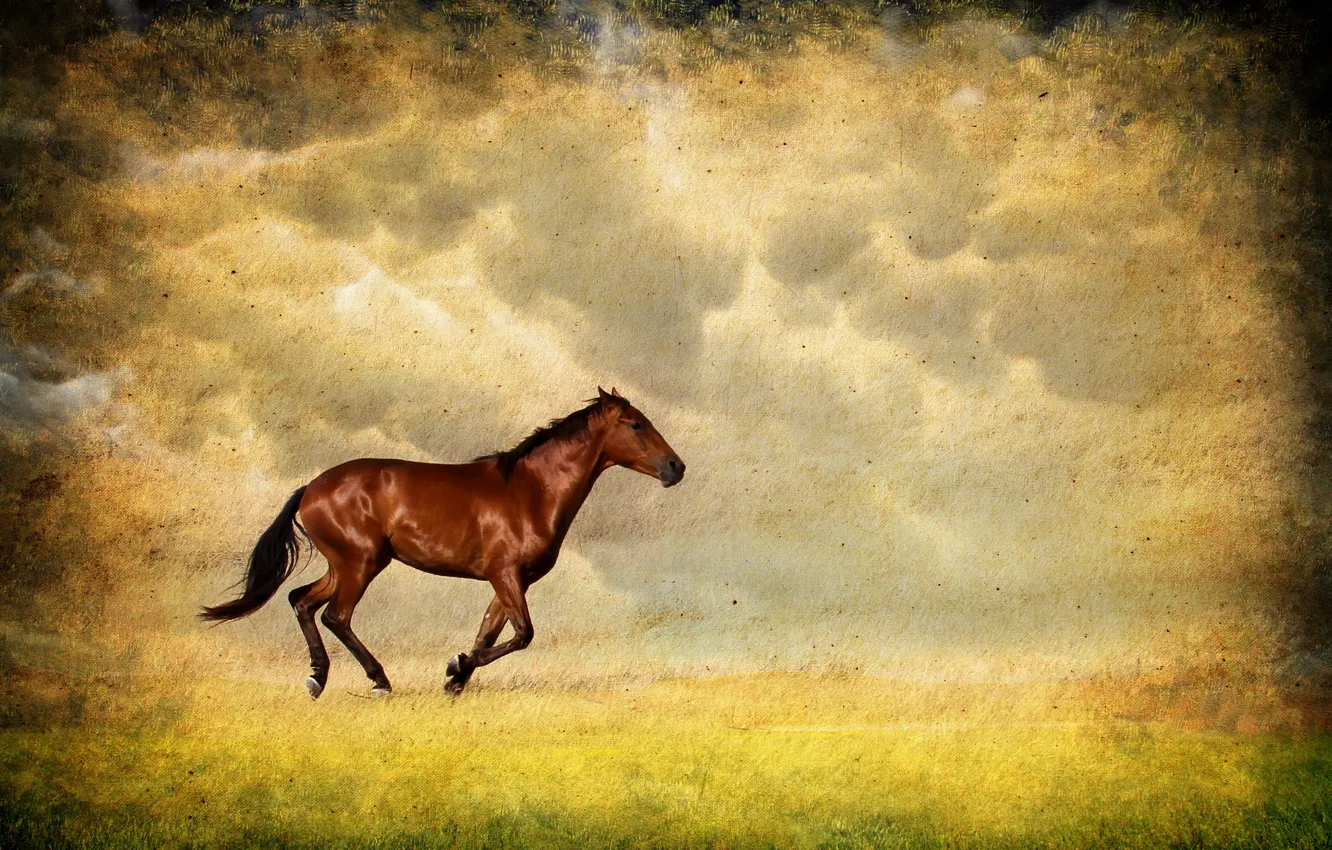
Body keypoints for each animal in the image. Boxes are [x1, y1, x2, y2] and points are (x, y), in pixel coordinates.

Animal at [200, 387, 685, 698]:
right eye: (636, 424)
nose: (676, 468)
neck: (530, 491)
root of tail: (310, 489)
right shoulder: (505, 575)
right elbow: (522, 634)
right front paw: (454, 667)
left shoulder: (510, 581)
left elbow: (488, 635)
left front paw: (455, 679)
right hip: (361, 563)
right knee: (336, 616)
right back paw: (378, 681)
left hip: (346, 564)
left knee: (301, 601)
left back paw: (318, 679)